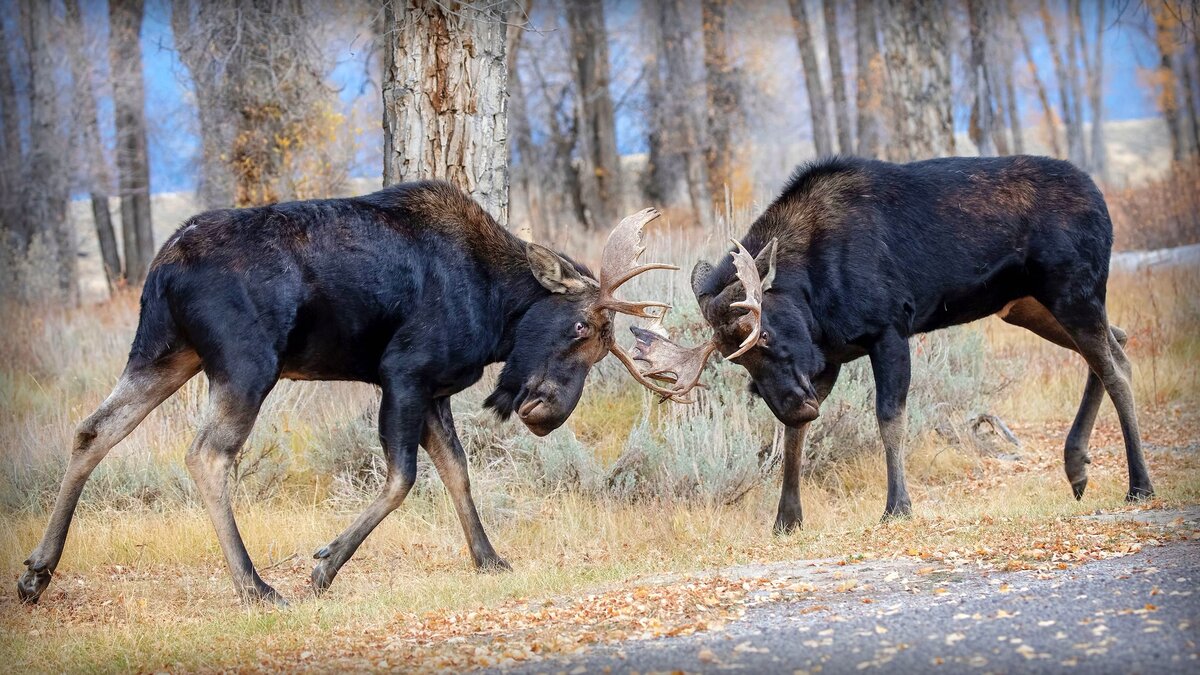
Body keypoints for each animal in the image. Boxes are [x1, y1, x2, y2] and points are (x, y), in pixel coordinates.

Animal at [16, 180, 676, 605]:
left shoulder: (434, 390)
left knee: (94, 429)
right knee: (206, 455)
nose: (549, 413)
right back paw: (255, 585)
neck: (498, 310)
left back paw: (37, 573)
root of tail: (164, 266)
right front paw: (325, 565)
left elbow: (457, 471)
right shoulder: (404, 373)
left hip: (163, 353)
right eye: (580, 327)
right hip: (245, 365)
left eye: (601, 348)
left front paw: (489, 558)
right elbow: (404, 477)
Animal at [638, 154, 1152, 528]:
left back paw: (1139, 484)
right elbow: (794, 438)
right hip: (1028, 305)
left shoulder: (888, 330)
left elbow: (889, 418)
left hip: (1072, 291)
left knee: (1115, 367)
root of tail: (1102, 200)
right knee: (1119, 341)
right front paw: (787, 519)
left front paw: (897, 506)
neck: (812, 295)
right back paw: (1077, 466)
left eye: (762, 332)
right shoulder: (827, 358)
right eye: (734, 359)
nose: (794, 405)